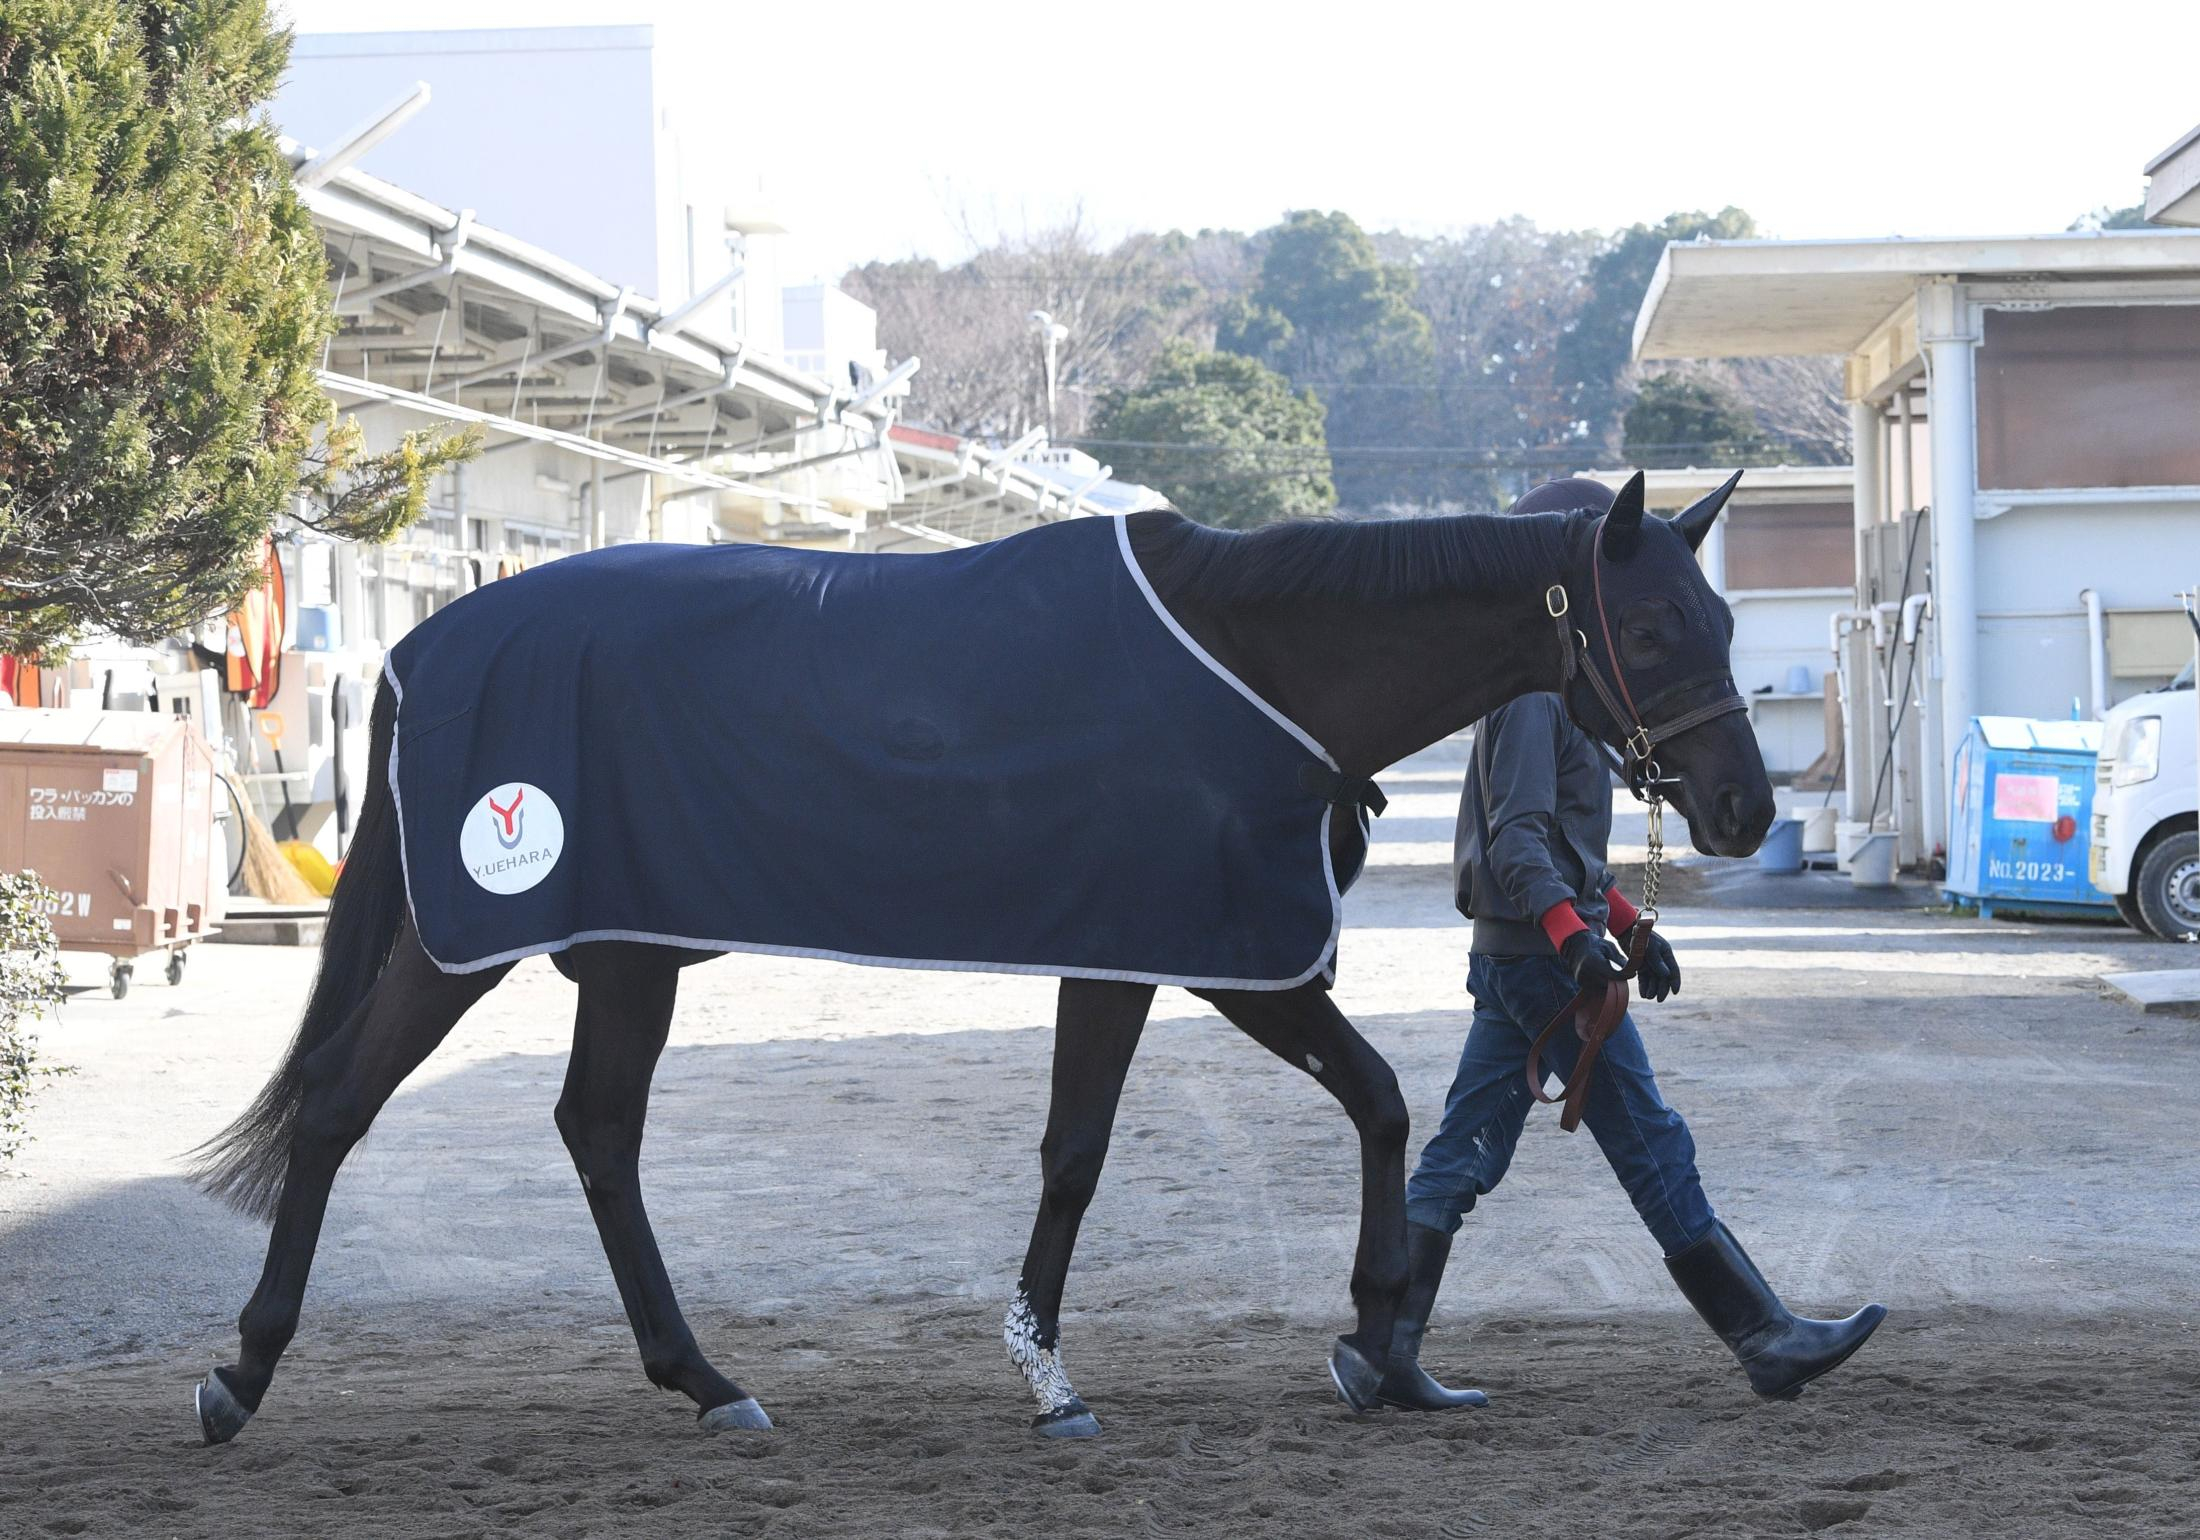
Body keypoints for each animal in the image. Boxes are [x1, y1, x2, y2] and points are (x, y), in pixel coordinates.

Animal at [189, 468, 1768, 1443]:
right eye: (1651, 623)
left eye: (1723, 613)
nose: (1744, 807)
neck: (1254, 662)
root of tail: (423, 649)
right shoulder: (1161, 951)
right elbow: (1079, 1154)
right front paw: (1051, 1376)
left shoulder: (1221, 955)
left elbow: (1377, 1103)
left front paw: (1379, 1339)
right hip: (485, 941)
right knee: (344, 1104)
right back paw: (242, 1373)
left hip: (628, 954)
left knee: (589, 1131)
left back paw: (704, 1380)